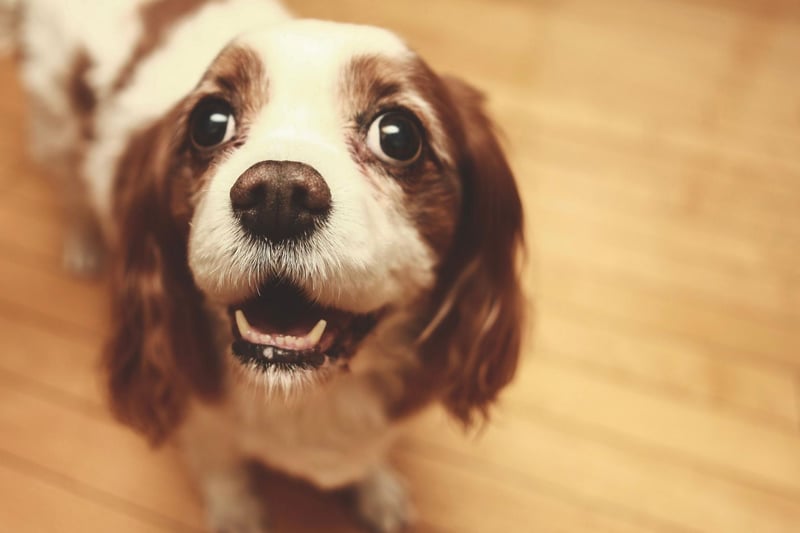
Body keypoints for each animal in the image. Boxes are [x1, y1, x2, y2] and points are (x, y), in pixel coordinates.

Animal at [14, 0, 524, 528]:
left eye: (398, 136)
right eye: (209, 123)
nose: (278, 194)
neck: (301, 393)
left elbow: (368, 458)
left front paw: (378, 489)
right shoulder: (198, 410)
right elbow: (222, 468)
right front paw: (235, 514)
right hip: (54, 125)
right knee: (68, 186)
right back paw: (84, 244)